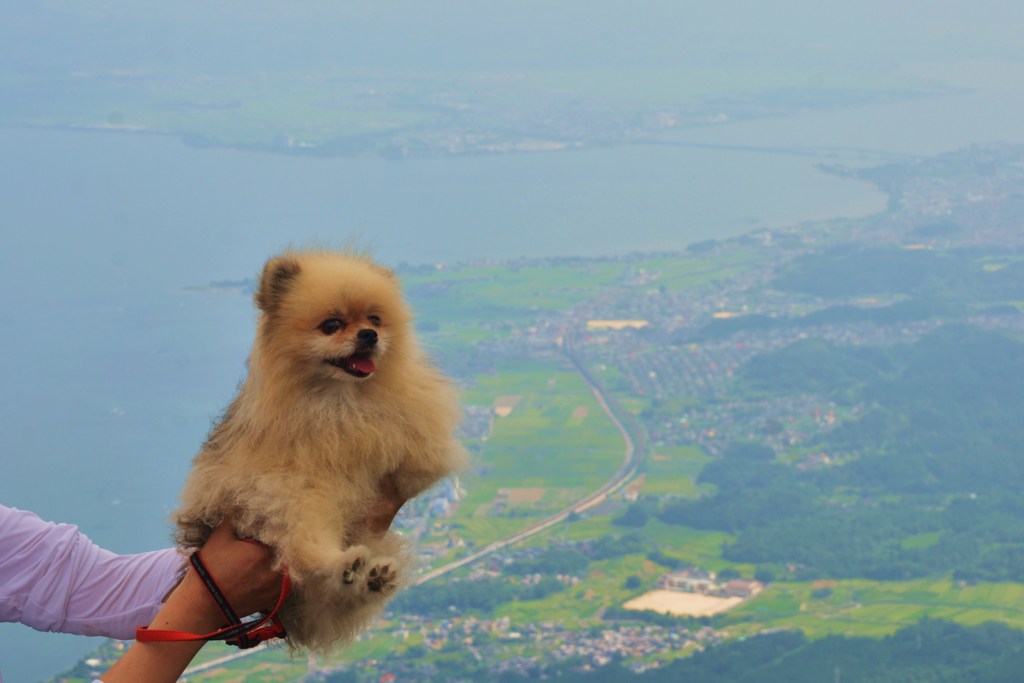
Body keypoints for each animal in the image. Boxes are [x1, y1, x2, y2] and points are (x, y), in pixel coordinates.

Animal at [173, 249, 468, 651]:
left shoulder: (418, 445)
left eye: (375, 319)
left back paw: (373, 577)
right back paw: (345, 568)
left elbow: (414, 462)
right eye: (331, 325)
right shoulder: (282, 482)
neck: (340, 399)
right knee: (308, 556)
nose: (369, 334)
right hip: (297, 505)